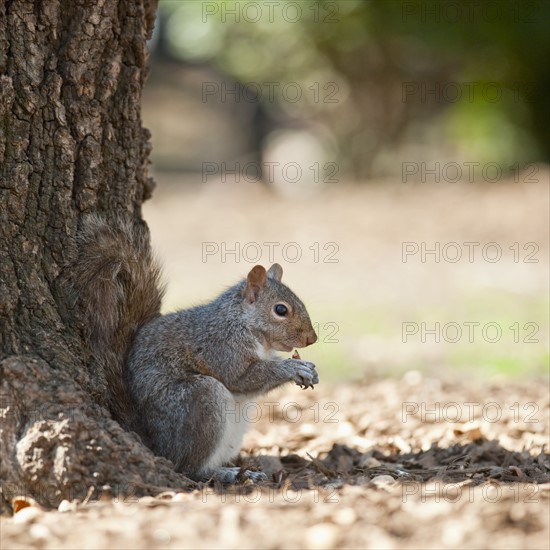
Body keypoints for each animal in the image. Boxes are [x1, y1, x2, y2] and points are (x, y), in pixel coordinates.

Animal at [75, 216, 322, 484]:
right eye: (280, 310)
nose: (312, 338)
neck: (242, 323)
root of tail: (157, 445)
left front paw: (310, 369)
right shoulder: (221, 347)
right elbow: (240, 379)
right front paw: (292, 367)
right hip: (201, 402)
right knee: (188, 468)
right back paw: (225, 473)